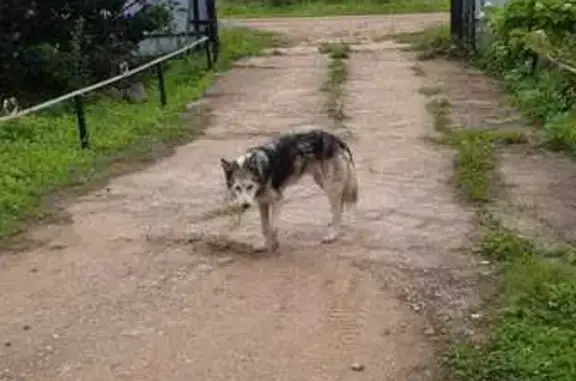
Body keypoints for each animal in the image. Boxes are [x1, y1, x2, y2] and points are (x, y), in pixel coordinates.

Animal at [218, 128, 358, 252]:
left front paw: (274, 244)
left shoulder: (278, 200)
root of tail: (336, 139)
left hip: (330, 186)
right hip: (322, 182)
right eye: (237, 188)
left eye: (249, 186)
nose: (245, 205)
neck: (261, 169)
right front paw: (265, 245)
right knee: (339, 205)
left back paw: (332, 235)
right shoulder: (263, 203)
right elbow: (265, 227)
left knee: (337, 210)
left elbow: (273, 227)